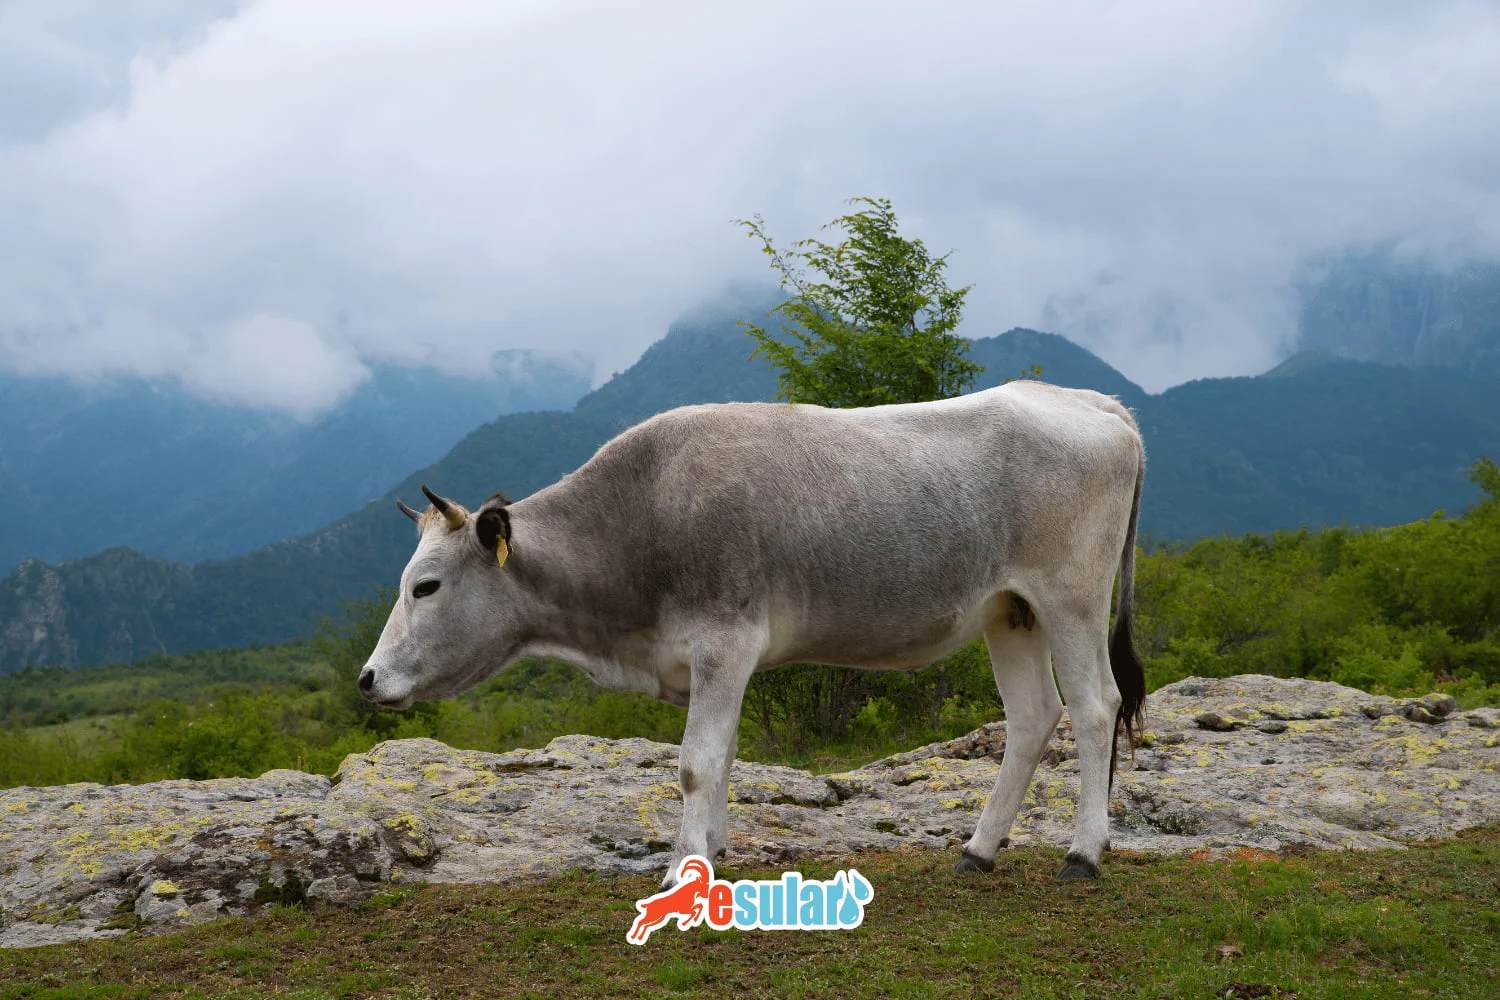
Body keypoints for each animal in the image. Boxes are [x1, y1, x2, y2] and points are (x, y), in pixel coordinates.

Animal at [358, 379, 1147, 882]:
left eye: (425, 585)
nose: (368, 678)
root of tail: (1092, 402)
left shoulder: (724, 641)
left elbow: (695, 763)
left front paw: (680, 870)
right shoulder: (722, 660)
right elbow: (726, 756)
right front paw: (714, 853)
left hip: (1071, 596)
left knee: (1094, 706)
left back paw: (1083, 855)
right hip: (1010, 610)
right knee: (1033, 716)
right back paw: (978, 851)